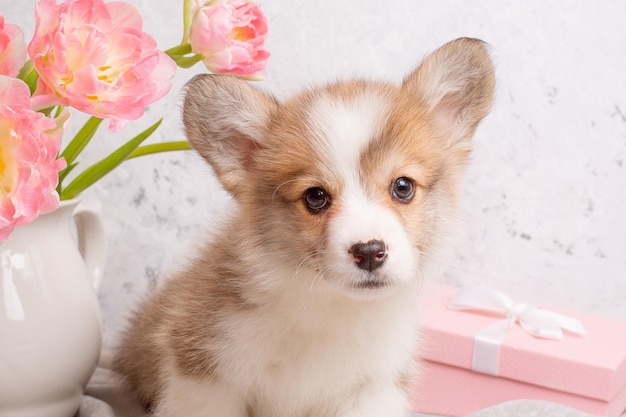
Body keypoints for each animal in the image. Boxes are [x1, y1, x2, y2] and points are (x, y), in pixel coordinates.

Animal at [112, 37, 492, 414]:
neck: (329, 307)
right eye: (315, 197)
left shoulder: (371, 389)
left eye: (403, 186)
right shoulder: (206, 379)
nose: (369, 252)